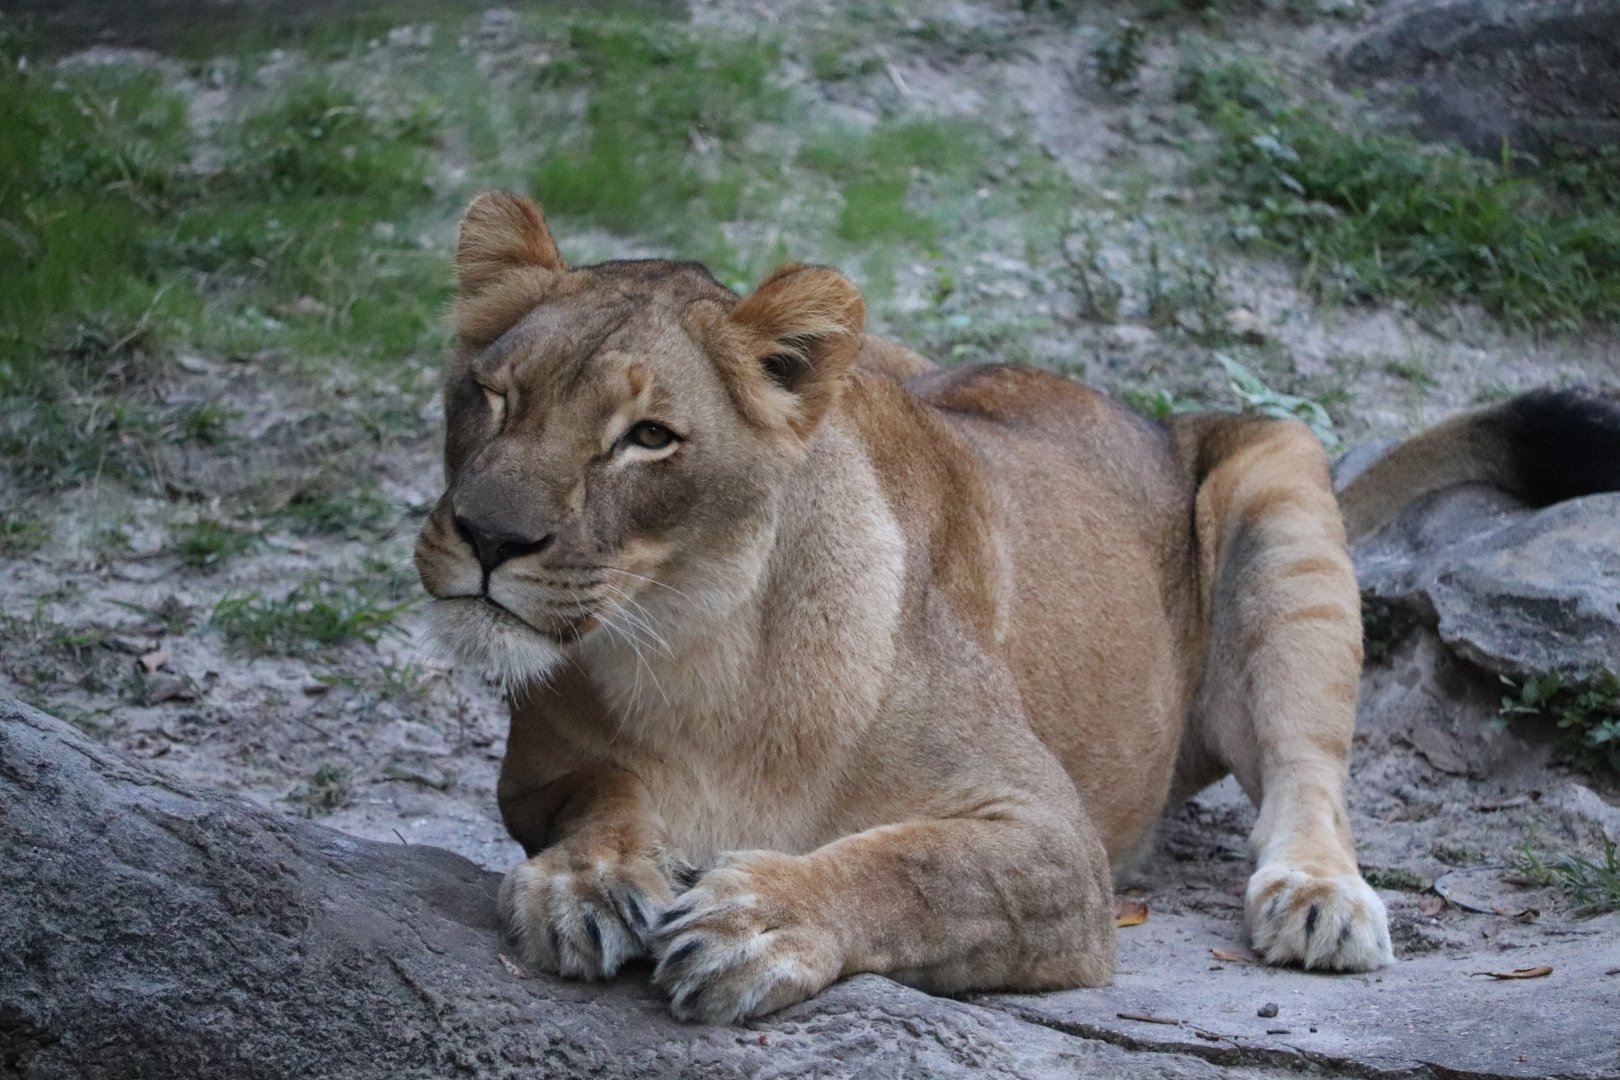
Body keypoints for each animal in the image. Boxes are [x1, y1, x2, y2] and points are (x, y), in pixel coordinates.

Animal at [415, 191, 1620, 1023]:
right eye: (491, 395)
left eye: (649, 437)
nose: (487, 538)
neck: (690, 644)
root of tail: (1152, 419)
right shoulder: (537, 771)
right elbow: (602, 791)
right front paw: (587, 881)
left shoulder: (1054, 846)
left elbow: (914, 869)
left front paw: (760, 920)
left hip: (1280, 480)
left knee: (1305, 771)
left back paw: (1320, 901)